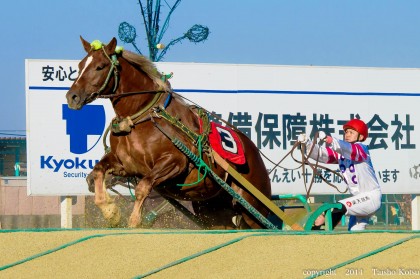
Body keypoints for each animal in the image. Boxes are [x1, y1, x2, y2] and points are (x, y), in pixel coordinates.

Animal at [65, 37, 270, 230]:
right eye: (80, 66)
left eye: (100, 66)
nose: (72, 96)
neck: (141, 118)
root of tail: (255, 152)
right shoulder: (123, 163)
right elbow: (99, 171)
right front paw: (111, 212)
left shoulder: (175, 162)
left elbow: (143, 187)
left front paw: (134, 221)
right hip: (213, 208)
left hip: (253, 208)